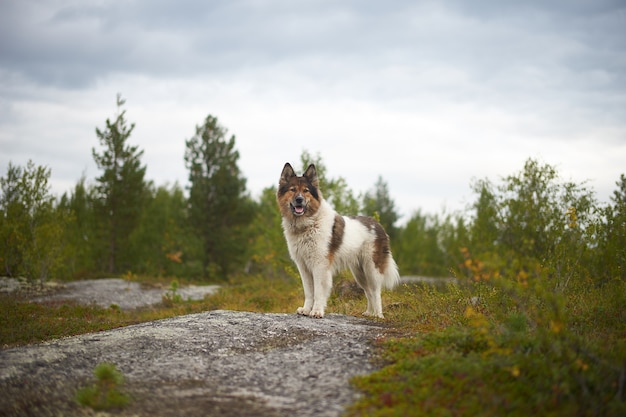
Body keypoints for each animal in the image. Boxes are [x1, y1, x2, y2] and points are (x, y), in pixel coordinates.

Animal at [276, 162, 398, 318]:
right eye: (292, 190)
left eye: (306, 191)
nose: (299, 200)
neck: (309, 223)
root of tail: (378, 225)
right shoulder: (303, 266)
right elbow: (309, 292)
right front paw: (306, 310)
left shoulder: (319, 265)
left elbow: (318, 292)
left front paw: (317, 311)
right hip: (359, 273)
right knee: (369, 291)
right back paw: (369, 313)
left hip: (372, 269)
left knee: (376, 291)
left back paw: (378, 315)